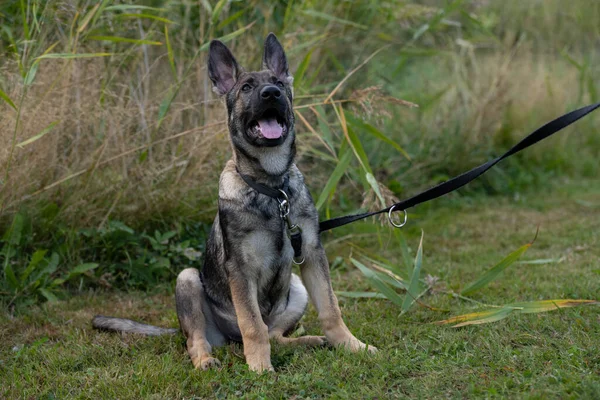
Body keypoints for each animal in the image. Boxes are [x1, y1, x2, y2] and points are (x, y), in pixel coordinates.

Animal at [93, 32, 376, 372]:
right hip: (188, 280)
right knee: (199, 339)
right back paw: (206, 360)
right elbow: (252, 324)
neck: (272, 190)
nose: (271, 94)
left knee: (276, 333)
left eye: (278, 83)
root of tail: (227, 340)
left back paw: (308, 341)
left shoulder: (311, 253)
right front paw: (260, 368)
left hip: (295, 286)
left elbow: (331, 310)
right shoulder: (241, 270)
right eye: (246, 88)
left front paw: (353, 346)